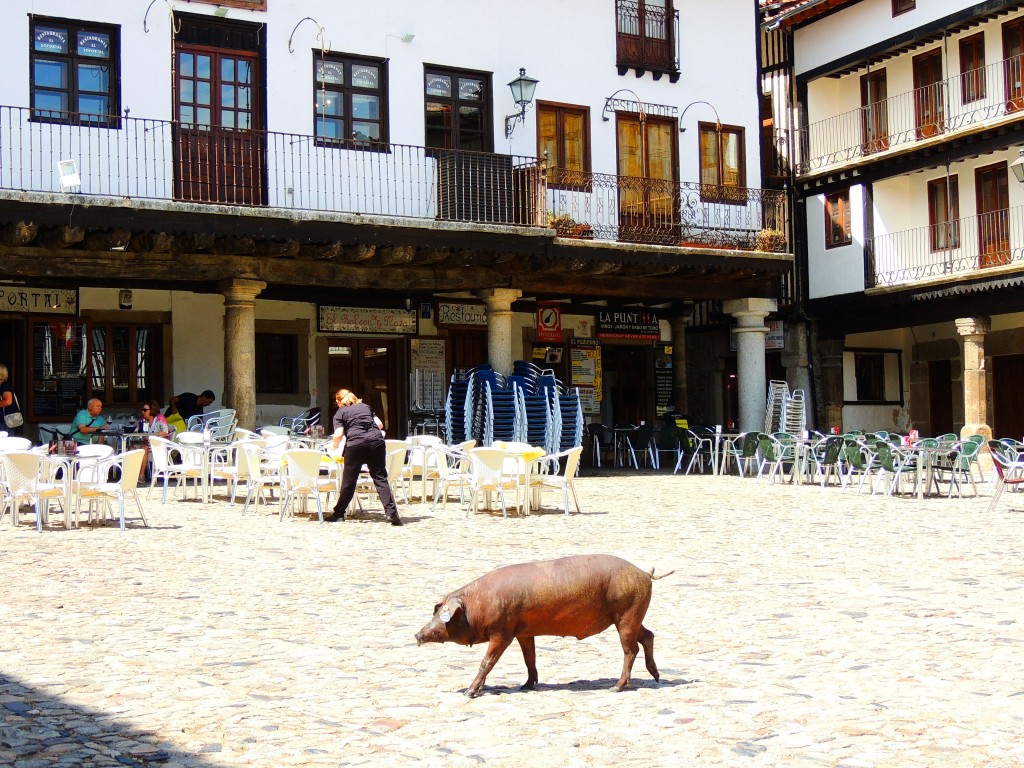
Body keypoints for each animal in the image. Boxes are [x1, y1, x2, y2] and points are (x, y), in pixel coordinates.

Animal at [413, 552, 671, 696]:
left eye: (442, 613)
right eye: (436, 611)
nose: (417, 635)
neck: (478, 604)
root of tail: (644, 573)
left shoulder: (502, 632)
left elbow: (487, 661)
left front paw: (469, 693)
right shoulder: (524, 633)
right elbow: (530, 658)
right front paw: (526, 686)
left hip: (626, 614)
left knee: (630, 649)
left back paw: (616, 687)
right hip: (632, 616)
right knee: (648, 635)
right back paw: (656, 677)